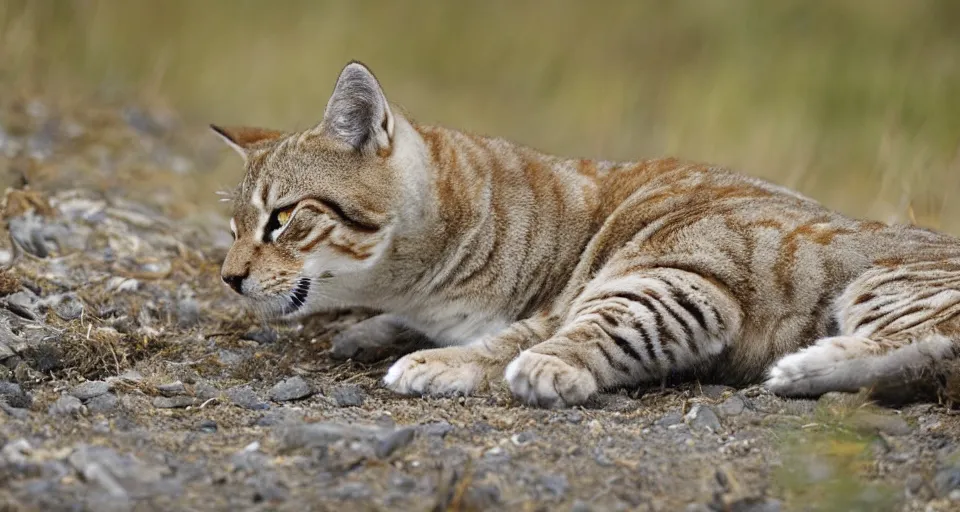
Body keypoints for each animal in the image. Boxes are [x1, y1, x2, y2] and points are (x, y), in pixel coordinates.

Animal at [216, 61, 960, 408]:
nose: (229, 277)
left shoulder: (683, 277)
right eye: (235, 227)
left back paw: (811, 365)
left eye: (283, 217)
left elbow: (550, 332)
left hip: (884, 283)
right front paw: (374, 330)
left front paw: (483, 361)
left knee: (933, 345)